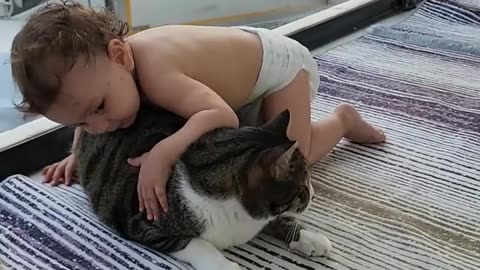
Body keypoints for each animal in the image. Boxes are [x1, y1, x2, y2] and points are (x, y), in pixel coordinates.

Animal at [76, 104, 330, 270]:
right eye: (303, 187)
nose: (314, 195)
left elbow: (279, 219)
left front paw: (311, 238)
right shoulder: (144, 223)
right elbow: (196, 243)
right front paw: (226, 266)